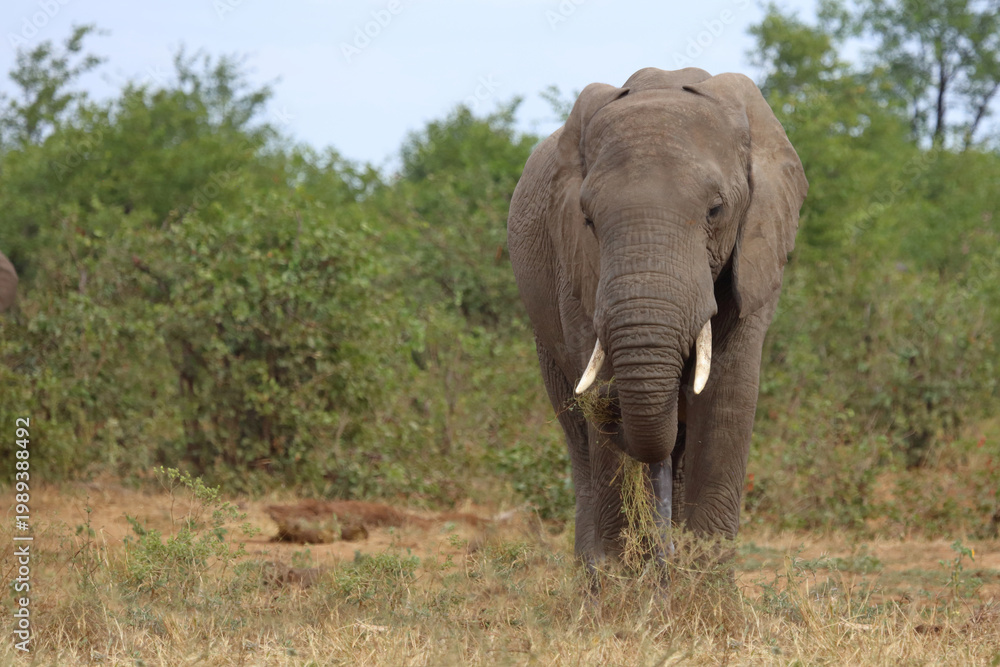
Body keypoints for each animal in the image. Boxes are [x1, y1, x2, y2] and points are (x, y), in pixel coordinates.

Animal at [507, 67, 807, 568]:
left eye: (716, 210)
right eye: (587, 219)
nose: (610, 401)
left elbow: (727, 398)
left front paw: (702, 589)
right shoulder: (576, 268)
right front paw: (625, 586)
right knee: (579, 441)